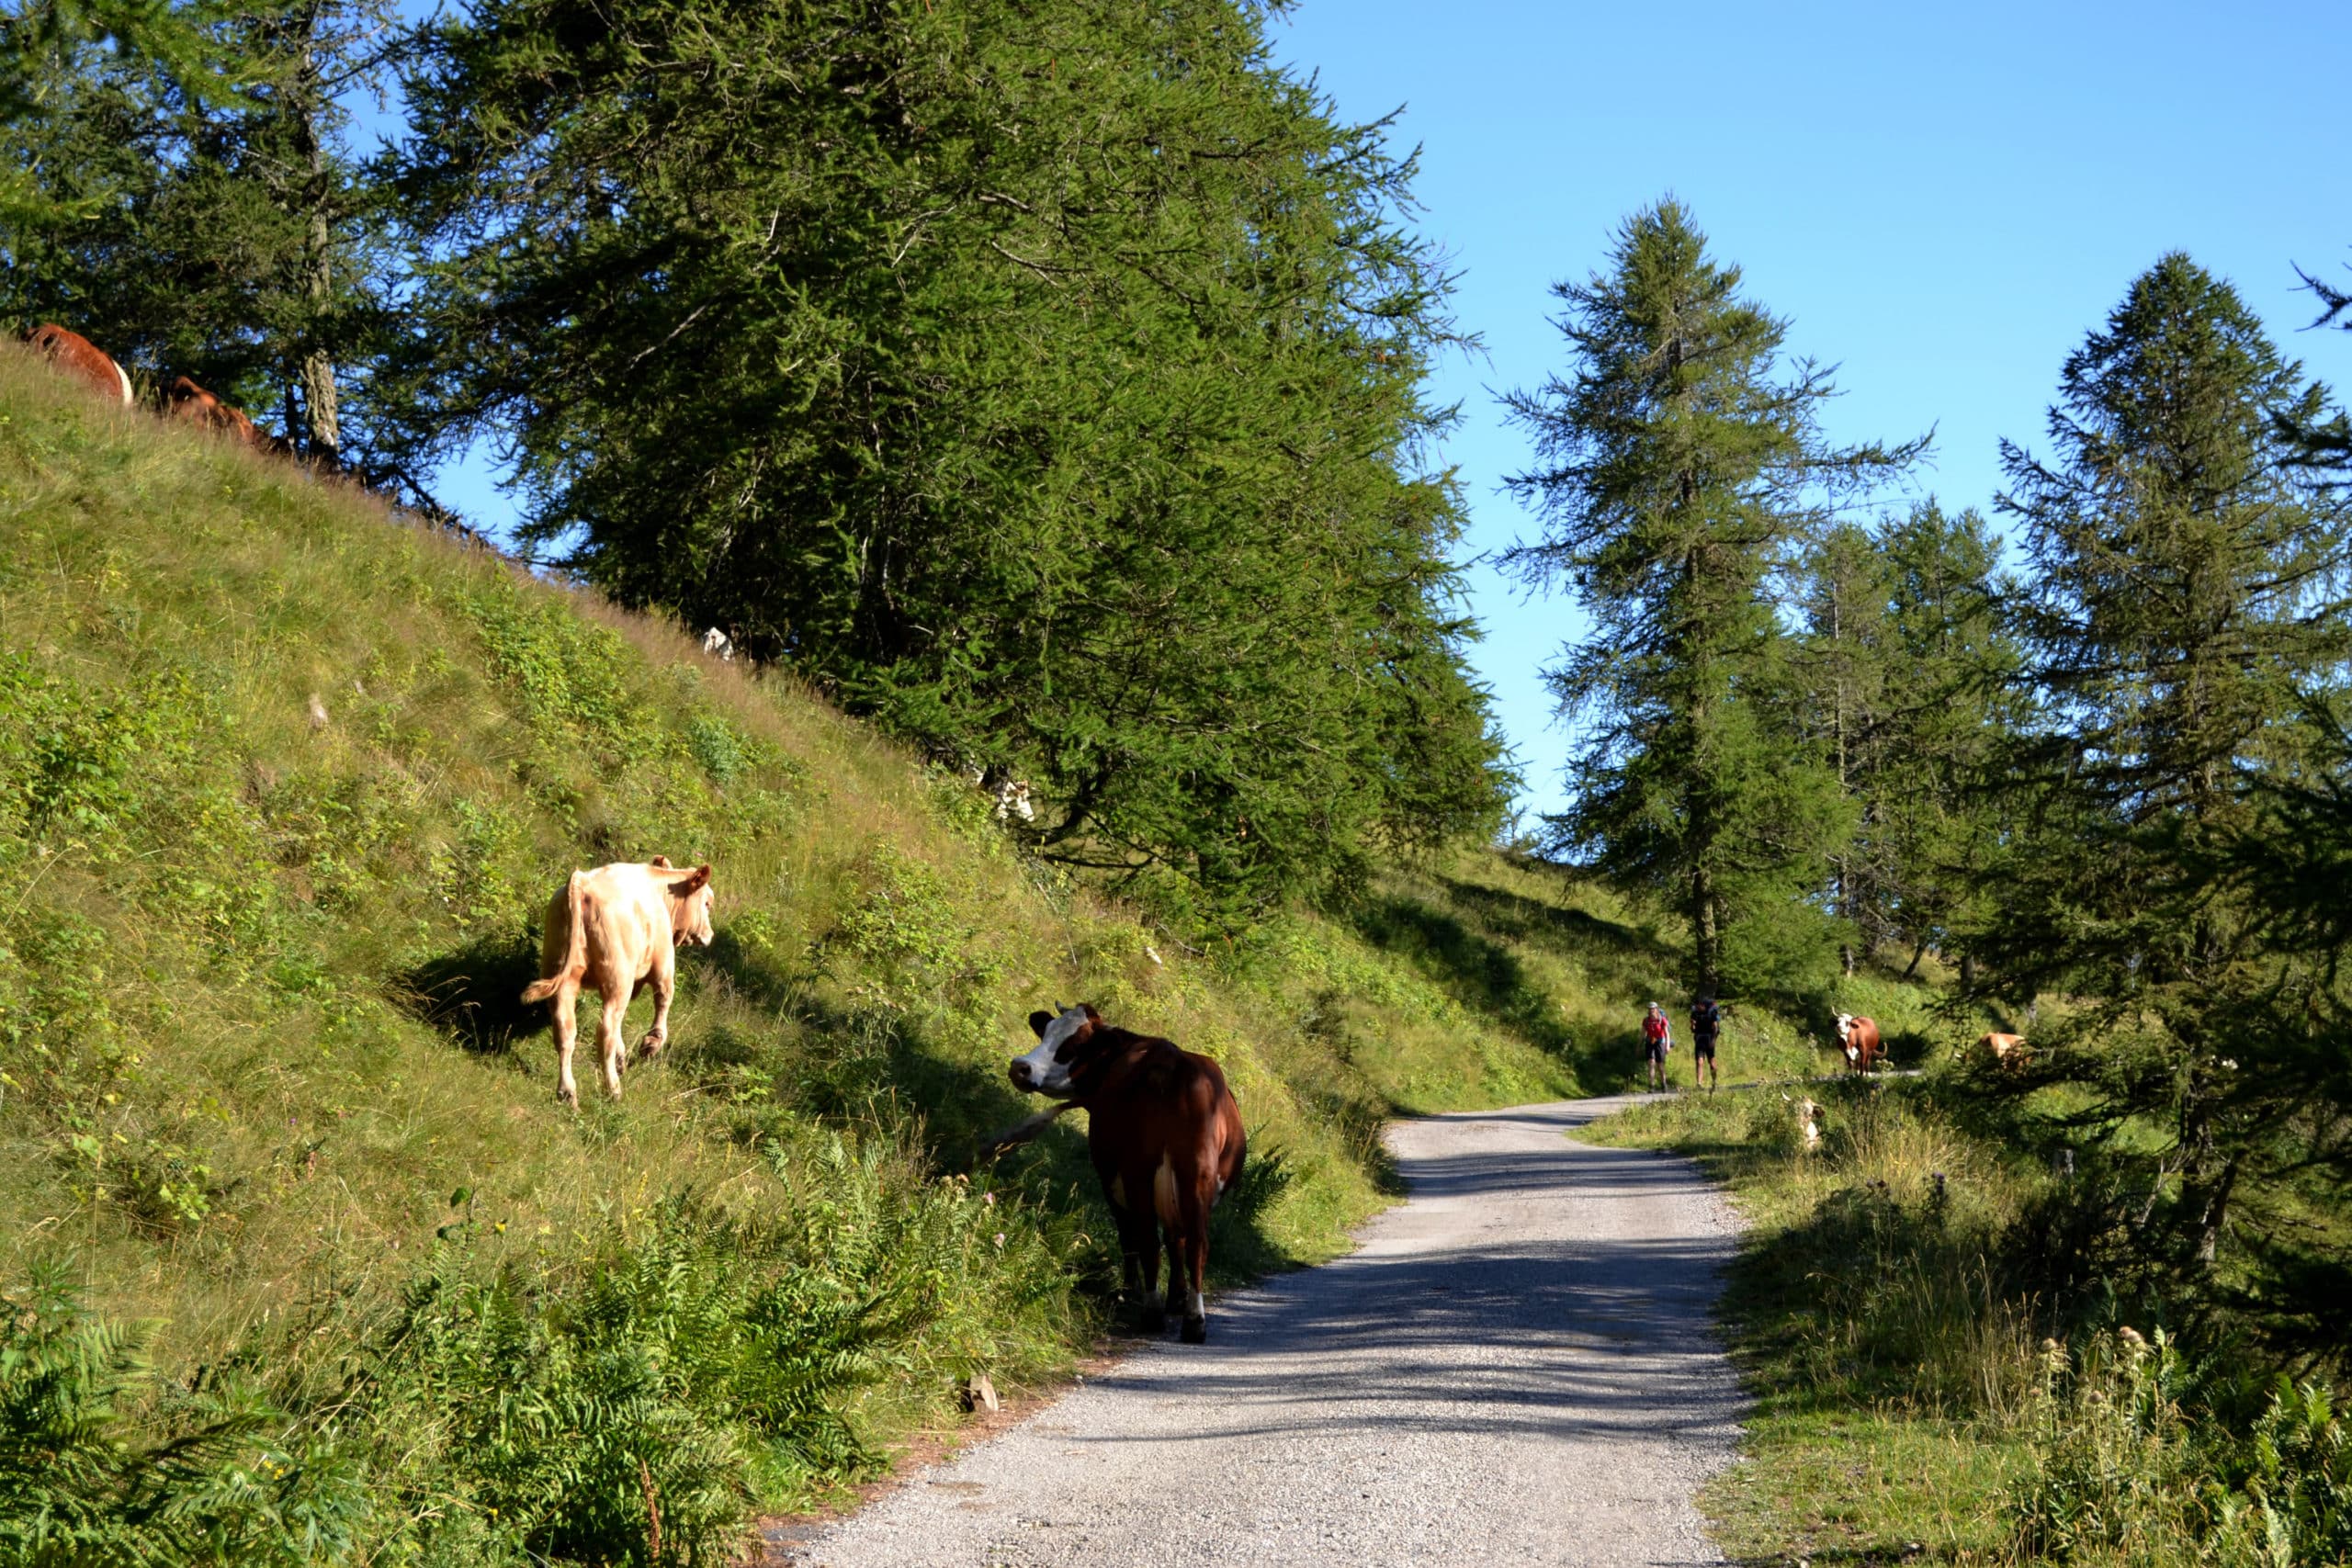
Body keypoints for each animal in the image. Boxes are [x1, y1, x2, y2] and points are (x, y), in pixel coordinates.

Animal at [519, 857, 715, 1107]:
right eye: (707, 903)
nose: (709, 934)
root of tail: (582, 881)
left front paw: (622, 1057)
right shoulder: (663, 963)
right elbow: (663, 1000)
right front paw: (651, 1044)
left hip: (564, 974)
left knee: (566, 1029)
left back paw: (568, 1093)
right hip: (618, 978)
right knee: (606, 1029)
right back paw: (612, 1088)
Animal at [1006, 1004, 1245, 1344]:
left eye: (1074, 1045)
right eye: (1046, 1032)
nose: (1020, 1067)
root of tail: (1172, 1065)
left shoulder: (1110, 1179)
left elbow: (1129, 1235)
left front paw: (1133, 1291)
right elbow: (1176, 1238)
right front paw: (1177, 1297)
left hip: (1138, 1172)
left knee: (1145, 1239)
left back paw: (1150, 1311)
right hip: (1195, 1173)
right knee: (1196, 1243)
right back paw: (1194, 1321)